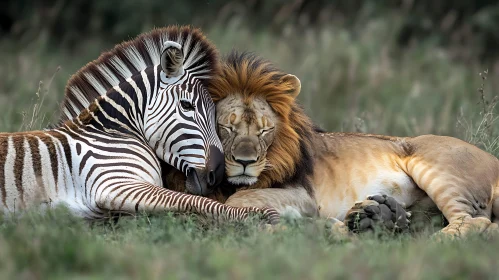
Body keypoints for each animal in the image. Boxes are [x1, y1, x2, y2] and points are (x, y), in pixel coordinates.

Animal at [0, 25, 282, 223]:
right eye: (187, 106)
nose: (216, 175)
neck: (114, 131)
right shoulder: (114, 183)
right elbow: (200, 202)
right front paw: (263, 216)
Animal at [207, 50, 499, 236]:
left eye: (265, 130)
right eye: (227, 128)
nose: (245, 162)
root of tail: (494, 160)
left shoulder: (302, 195)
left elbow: (236, 200)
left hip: (439, 169)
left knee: (475, 221)